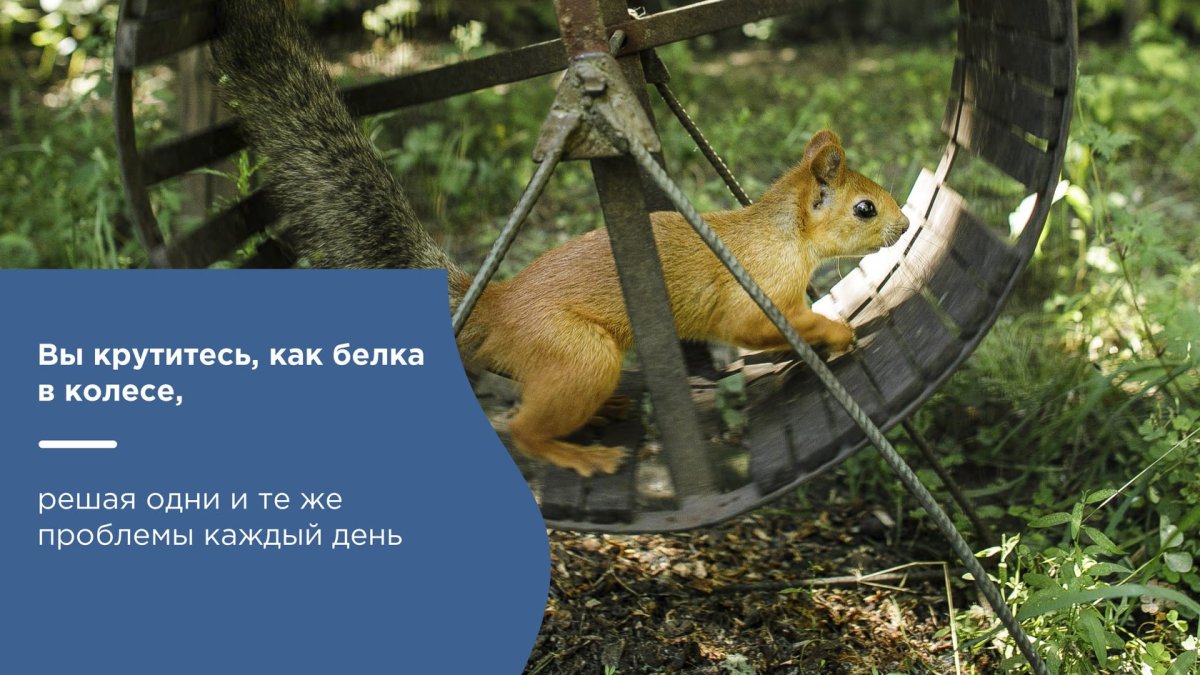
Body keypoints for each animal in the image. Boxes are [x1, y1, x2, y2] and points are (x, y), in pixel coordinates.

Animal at [210, 1, 910, 477]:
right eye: (865, 208)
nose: (905, 227)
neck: (783, 236)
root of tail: (496, 305)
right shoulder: (752, 292)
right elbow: (760, 325)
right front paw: (833, 334)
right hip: (582, 356)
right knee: (521, 425)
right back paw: (581, 454)